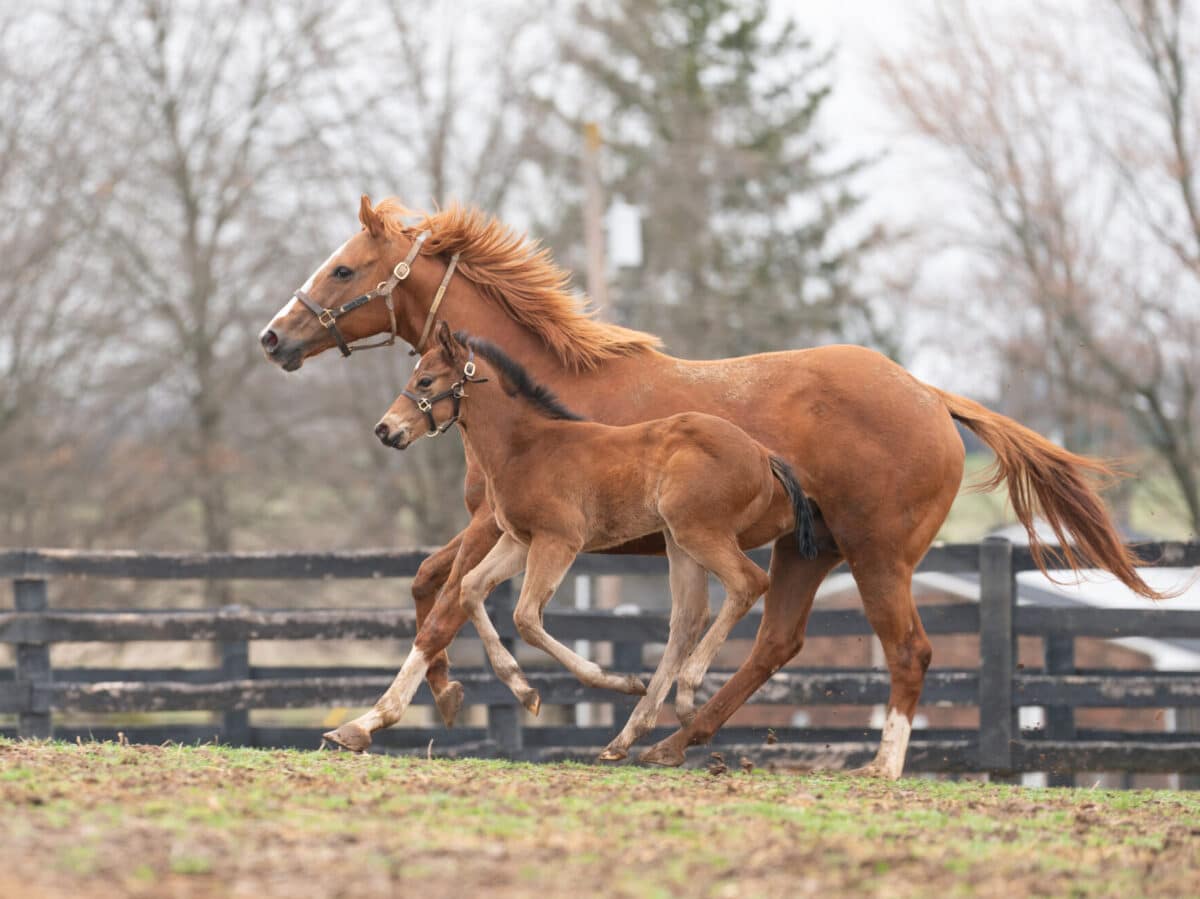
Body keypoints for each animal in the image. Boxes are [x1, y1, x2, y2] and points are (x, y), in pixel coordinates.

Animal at [372, 321, 825, 758]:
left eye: (426, 380)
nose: (384, 429)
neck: (525, 447)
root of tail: (762, 454)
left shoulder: (558, 541)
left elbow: (525, 617)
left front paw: (615, 680)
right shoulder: (518, 541)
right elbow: (470, 589)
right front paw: (526, 690)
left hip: (700, 532)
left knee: (749, 583)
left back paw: (685, 695)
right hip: (679, 542)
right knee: (690, 616)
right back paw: (629, 737)